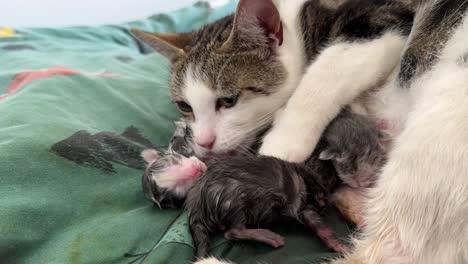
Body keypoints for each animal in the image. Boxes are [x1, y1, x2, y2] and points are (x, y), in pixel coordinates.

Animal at [131, 0, 468, 262]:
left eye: (228, 100)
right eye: (184, 106)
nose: (203, 142)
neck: (305, 19)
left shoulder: (380, 22)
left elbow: (326, 70)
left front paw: (279, 146)